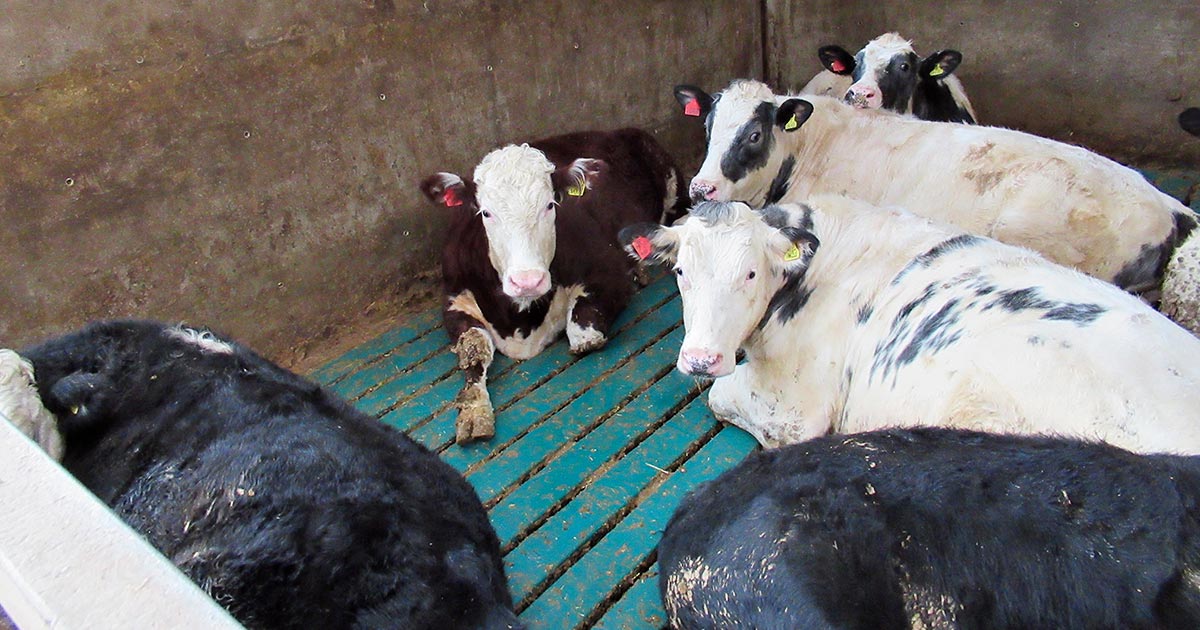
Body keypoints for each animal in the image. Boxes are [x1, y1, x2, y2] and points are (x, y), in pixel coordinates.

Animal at [420, 127, 686, 441]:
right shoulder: (454, 300)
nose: (527, 280)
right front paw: (475, 412)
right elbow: (473, 350)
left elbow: (583, 335)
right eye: (485, 212)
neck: (519, 322)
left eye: (549, 205)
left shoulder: (610, 275)